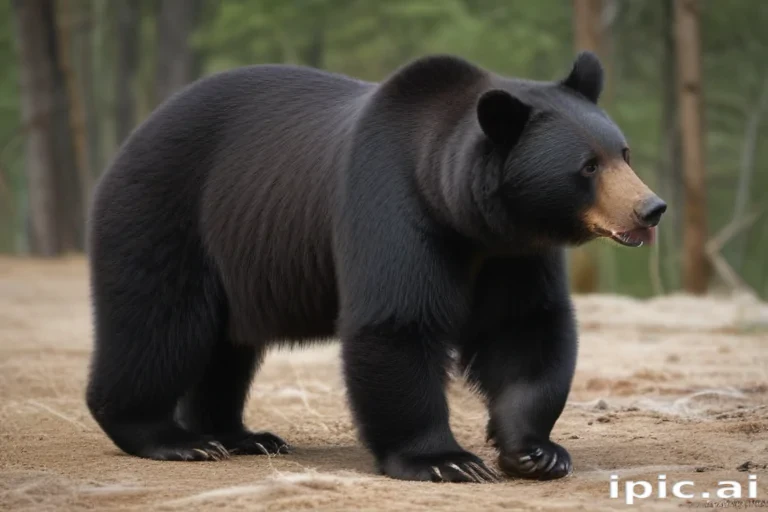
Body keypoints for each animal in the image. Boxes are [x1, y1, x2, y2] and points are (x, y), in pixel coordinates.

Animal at [85, 50, 666, 483]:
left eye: (623, 153)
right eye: (587, 166)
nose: (651, 209)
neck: (464, 218)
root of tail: (136, 135)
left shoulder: (513, 254)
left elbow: (526, 329)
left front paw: (536, 450)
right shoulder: (392, 206)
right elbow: (397, 323)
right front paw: (446, 460)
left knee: (227, 348)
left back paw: (242, 435)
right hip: (169, 210)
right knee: (159, 322)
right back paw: (170, 438)